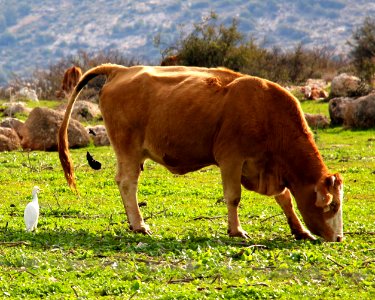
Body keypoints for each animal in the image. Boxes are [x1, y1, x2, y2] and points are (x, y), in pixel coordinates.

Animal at [58, 64, 344, 243]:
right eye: (332, 205)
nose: (339, 237)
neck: (267, 113)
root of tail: (120, 70)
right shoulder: (231, 159)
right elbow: (233, 197)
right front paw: (236, 231)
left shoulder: (265, 168)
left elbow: (285, 199)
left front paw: (300, 231)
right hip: (128, 149)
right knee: (127, 184)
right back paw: (139, 225)